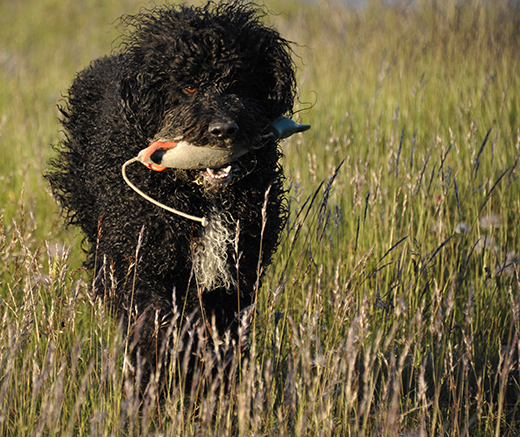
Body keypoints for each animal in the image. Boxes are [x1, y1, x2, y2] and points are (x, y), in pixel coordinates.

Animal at [47, 0, 306, 388]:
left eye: (238, 83)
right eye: (188, 88)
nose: (223, 130)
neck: (200, 198)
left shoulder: (235, 273)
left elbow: (220, 335)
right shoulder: (141, 262)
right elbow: (155, 325)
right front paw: (157, 379)